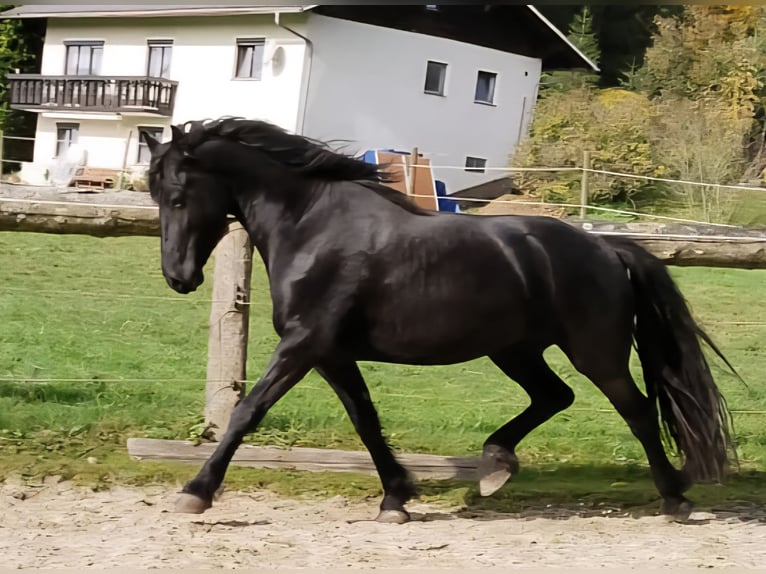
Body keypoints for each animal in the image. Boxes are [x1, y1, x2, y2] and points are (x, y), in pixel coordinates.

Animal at [142, 117, 736, 524]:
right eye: (155, 195)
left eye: (178, 195)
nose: (178, 276)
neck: (311, 226)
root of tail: (609, 249)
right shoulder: (330, 352)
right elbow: (365, 418)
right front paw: (396, 498)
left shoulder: (303, 344)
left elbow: (248, 411)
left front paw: (195, 492)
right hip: (514, 349)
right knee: (554, 397)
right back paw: (496, 465)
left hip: (595, 353)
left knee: (636, 410)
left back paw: (675, 497)